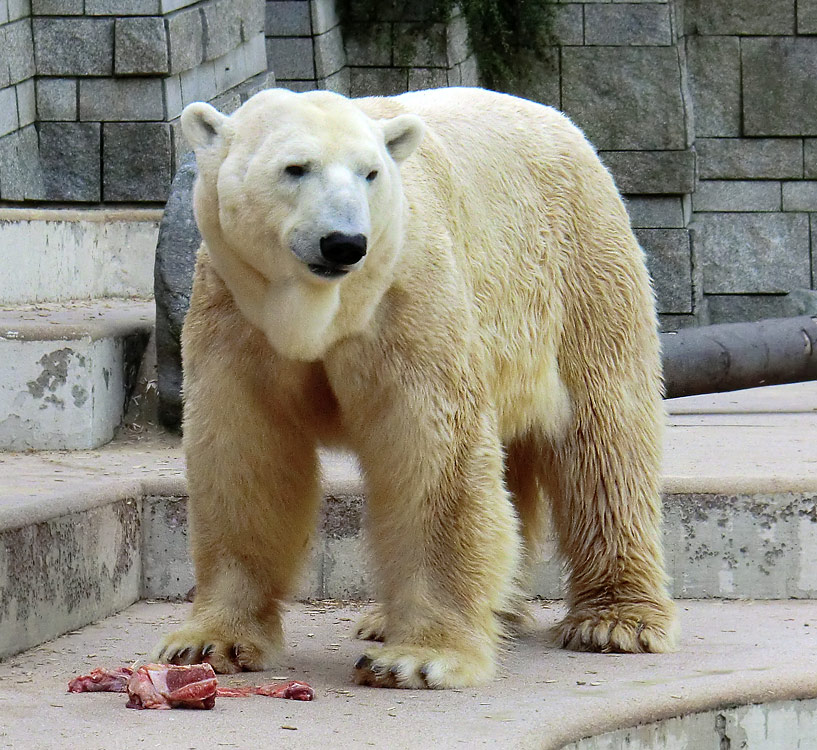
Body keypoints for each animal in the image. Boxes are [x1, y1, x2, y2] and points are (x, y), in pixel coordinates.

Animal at [153, 85, 676, 692]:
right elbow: (244, 455)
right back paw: (423, 615)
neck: (325, 312)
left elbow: (433, 454)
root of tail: (561, 123)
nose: (344, 243)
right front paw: (210, 641)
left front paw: (418, 658)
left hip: (579, 272)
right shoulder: (234, 314)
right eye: (295, 167)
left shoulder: (409, 301)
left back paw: (616, 621)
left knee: (603, 438)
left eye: (371, 172)